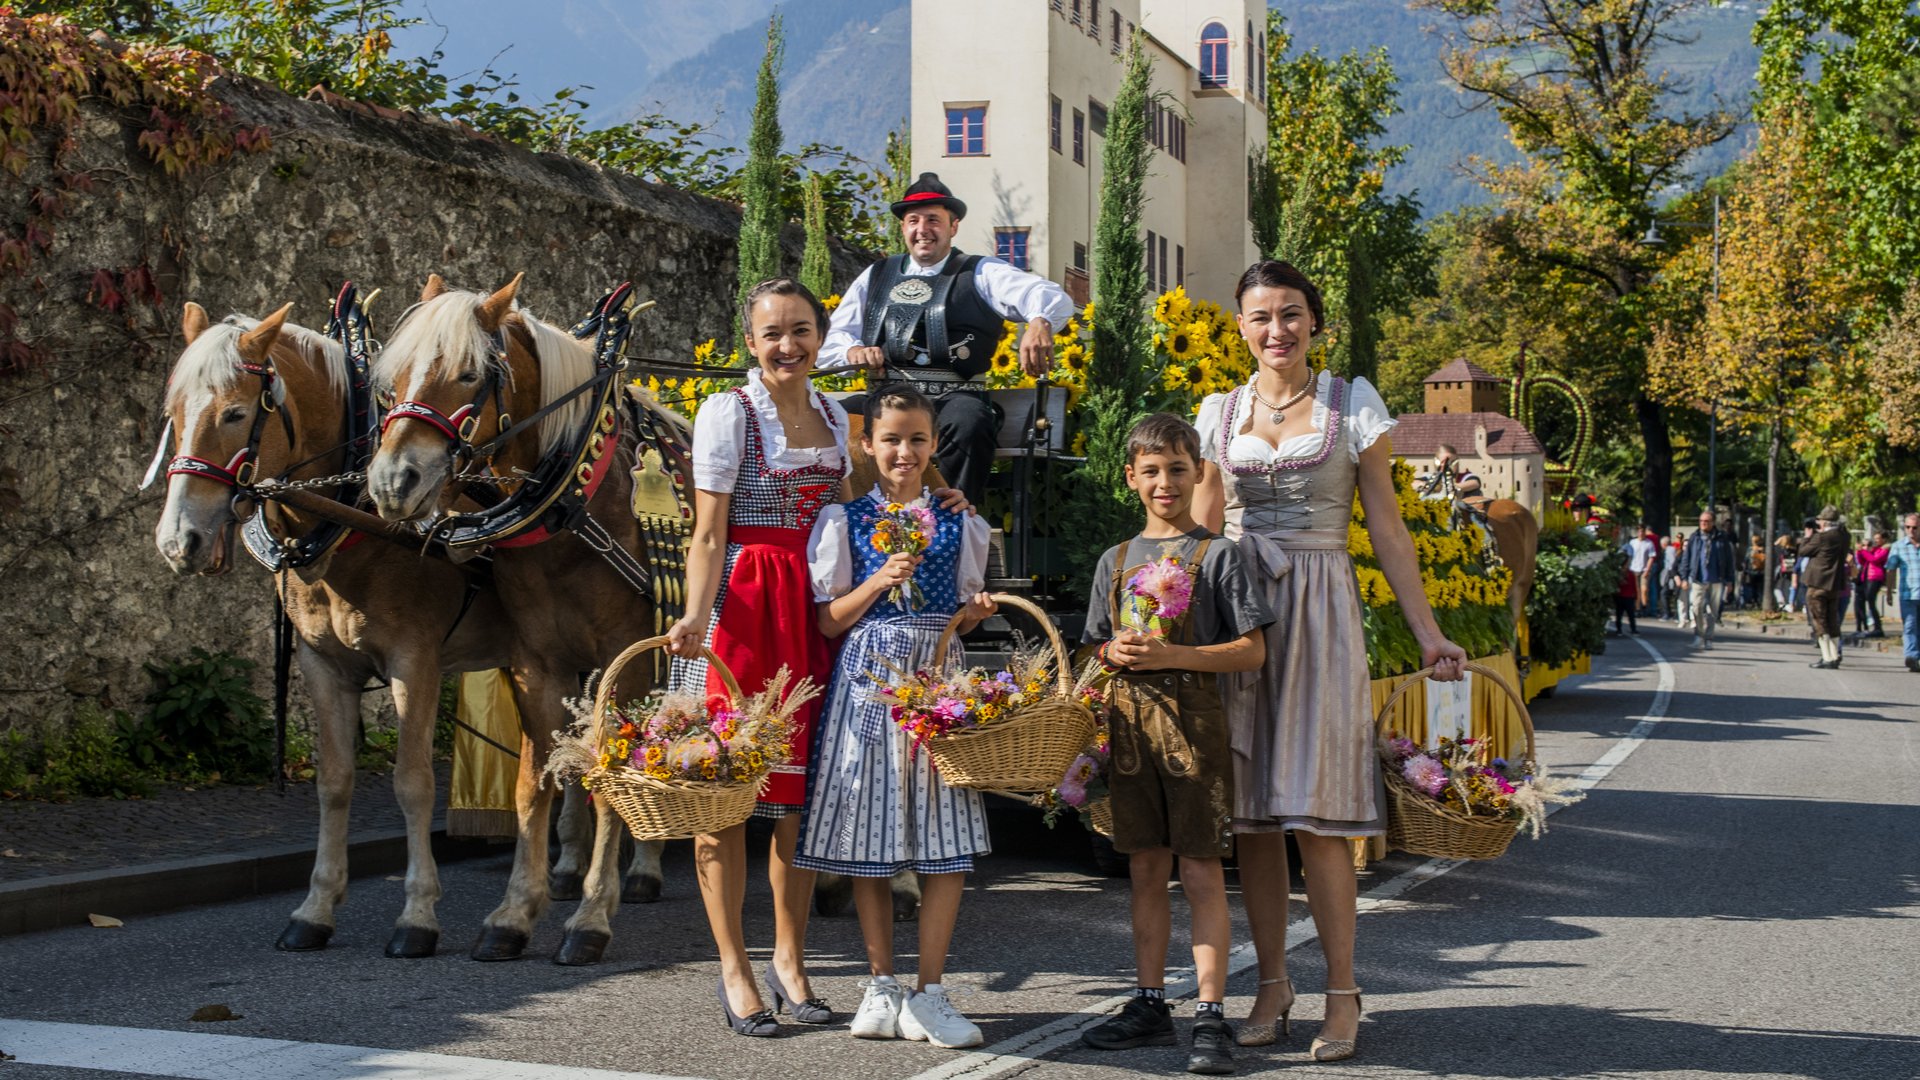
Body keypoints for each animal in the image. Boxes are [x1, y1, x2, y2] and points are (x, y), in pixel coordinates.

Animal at [364, 270, 691, 957]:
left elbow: (610, 778)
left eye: (467, 374)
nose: (390, 483)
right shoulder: (536, 663)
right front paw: (517, 911)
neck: (571, 504)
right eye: (392, 375)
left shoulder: (626, 659)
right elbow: (535, 782)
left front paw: (591, 919)